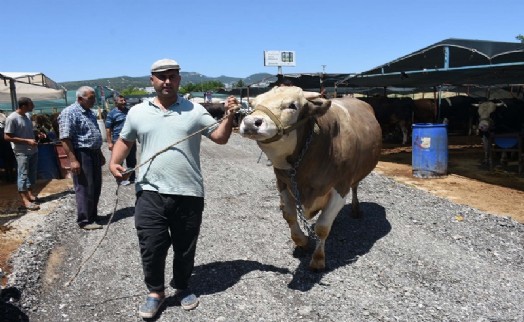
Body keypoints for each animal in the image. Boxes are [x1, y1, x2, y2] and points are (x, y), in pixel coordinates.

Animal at [238, 85, 380, 270]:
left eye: (292, 105)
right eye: (253, 104)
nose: (250, 122)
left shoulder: (340, 187)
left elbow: (322, 227)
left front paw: (318, 260)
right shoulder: (283, 183)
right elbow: (289, 216)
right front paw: (303, 242)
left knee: (355, 187)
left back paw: (356, 210)